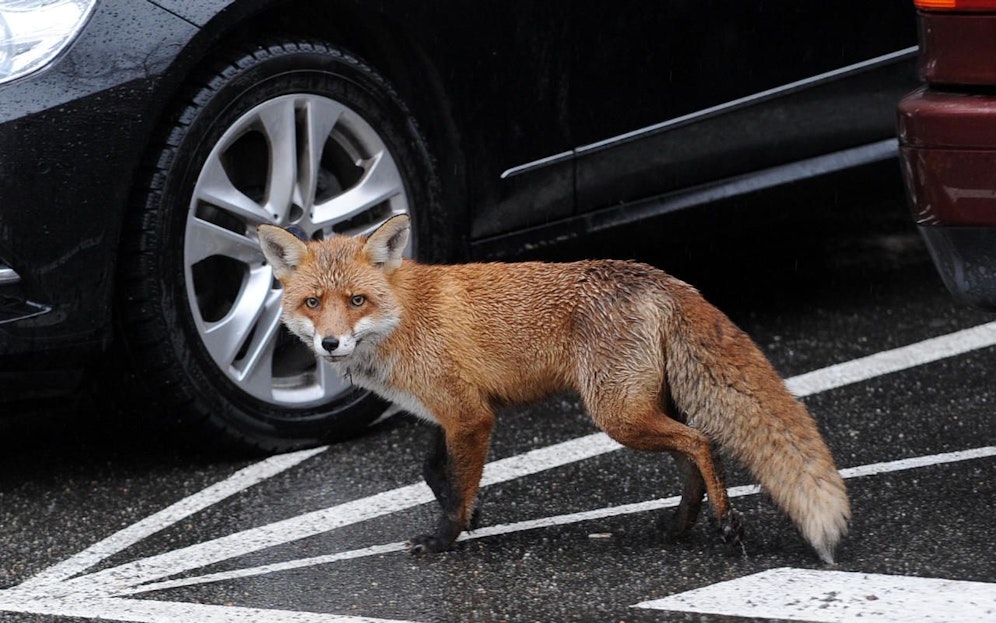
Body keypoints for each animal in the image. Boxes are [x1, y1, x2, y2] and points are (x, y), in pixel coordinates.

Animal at [258, 215, 850, 564]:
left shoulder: (470, 417)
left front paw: (445, 536)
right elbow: (434, 472)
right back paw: (680, 525)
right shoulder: (449, 412)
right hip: (643, 408)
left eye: (357, 300)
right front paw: (470, 514)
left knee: (703, 442)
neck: (403, 317)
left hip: (618, 415)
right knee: (691, 456)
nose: (330, 343)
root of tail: (658, 275)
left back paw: (727, 525)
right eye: (314, 302)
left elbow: (454, 488)